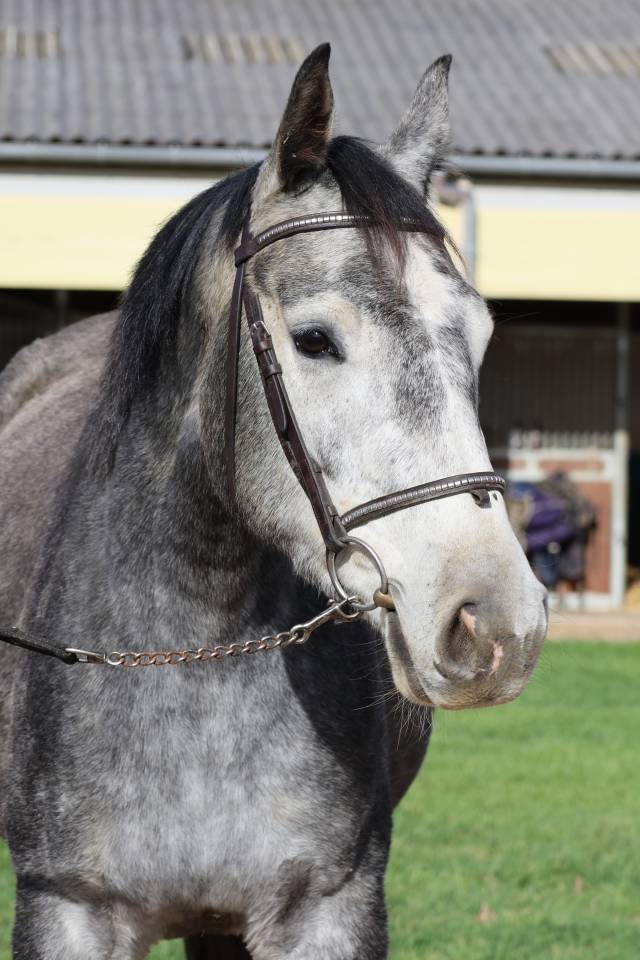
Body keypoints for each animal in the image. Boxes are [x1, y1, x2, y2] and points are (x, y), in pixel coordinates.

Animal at [0, 44, 547, 960]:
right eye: (315, 340)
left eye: (479, 336)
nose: (496, 623)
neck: (189, 660)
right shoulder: (63, 907)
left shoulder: (329, 907)